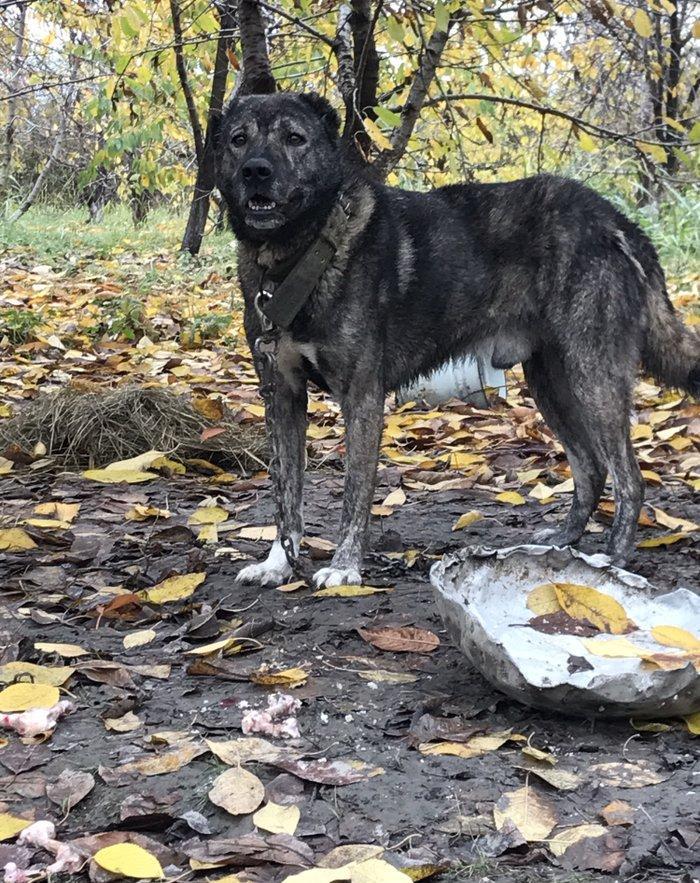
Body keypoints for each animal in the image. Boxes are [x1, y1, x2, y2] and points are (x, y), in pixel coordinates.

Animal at [215, 91, 699, 588]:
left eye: (295, 138)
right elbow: (285, 493)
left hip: (592, 377)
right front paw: (279, 561)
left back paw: (612, 560)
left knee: (629, 478)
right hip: (552, 383)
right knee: (591, 468)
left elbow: (354, 494)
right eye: (238, 139)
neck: (300, 253)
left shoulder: (362, 397)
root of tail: (613, 218)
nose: (256, 171)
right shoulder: (282, 396)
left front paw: (345, 566)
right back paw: (563, 542)